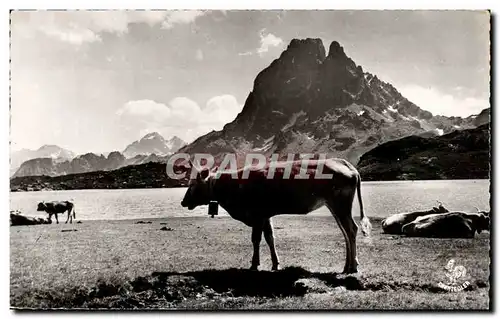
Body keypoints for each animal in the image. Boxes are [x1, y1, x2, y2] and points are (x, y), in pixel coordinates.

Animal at [181, 159, 372, 274]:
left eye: (192, 184)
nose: (183, 202)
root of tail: (347, 165)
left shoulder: (257, 214)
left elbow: (256, 239)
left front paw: (254, 264)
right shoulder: (266, 215)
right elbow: (270, 237)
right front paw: (275, 264)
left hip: (341, 205)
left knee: (351, 229)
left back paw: (353, 266)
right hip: (335, 207)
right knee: (345, 232)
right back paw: (347, 266)